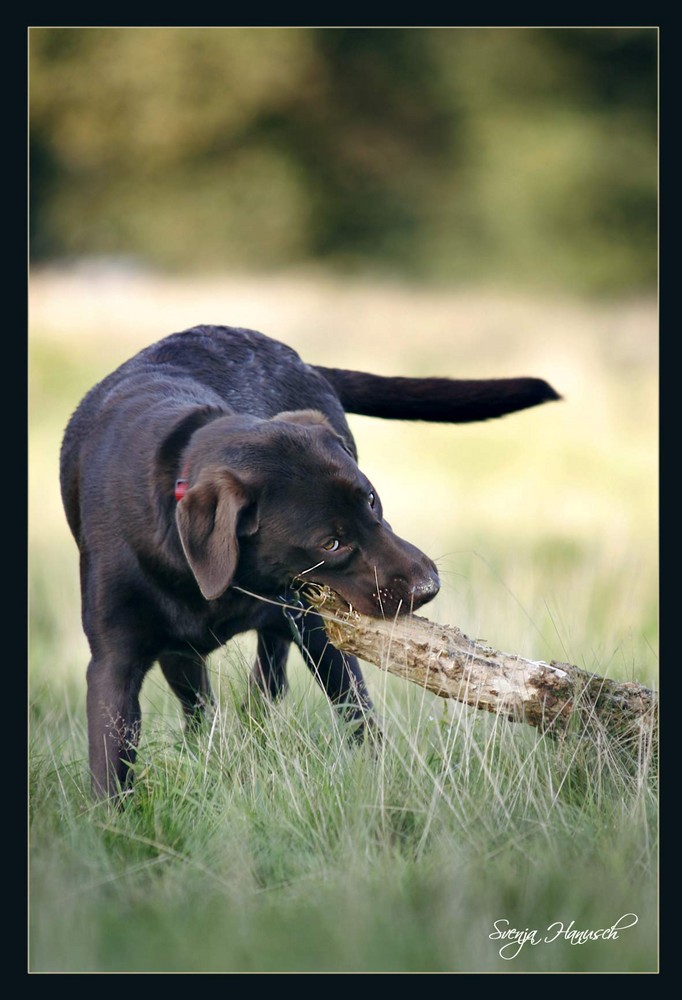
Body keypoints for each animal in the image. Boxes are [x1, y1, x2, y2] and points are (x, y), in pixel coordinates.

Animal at [59, 322, 556, 796]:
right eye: (330, 543)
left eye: (371, 500)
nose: (428, 587)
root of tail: (299, 359)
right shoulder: (114, 662)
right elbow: (111, 761)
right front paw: (111, 818)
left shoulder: (319, 629)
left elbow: (359, 715)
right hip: (181, 655)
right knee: (202, 704)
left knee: (268, 677)